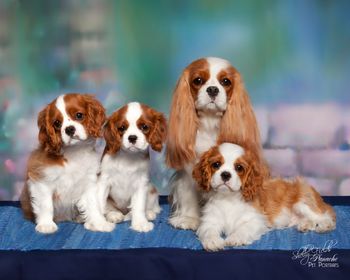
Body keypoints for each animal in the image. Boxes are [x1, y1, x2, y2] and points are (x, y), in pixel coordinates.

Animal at [20, 93, 115, 233]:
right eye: (57, 123)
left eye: (79, 115)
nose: (69, 129)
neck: (74, 152)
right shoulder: (41, 180)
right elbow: (46, 205)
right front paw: (46, 224)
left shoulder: (89, 182)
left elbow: (93, 204)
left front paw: (99, 223)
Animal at [98, 101, 167, 233]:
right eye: (122, 128)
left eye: (144, 127)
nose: (132, 137)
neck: (128, 156)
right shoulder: (104, 181)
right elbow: (100, 203)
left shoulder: (141, 183)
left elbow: (139, 205)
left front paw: (140, 223)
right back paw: (114, 215)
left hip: (152, 190)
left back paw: (148, 213)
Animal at [165, 56, 268, 230]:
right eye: (198, 80)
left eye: (225, 81)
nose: (212, 89)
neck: (209, 122)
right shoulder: (188, 172)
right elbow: (188, 195)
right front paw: (189, 218)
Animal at [193, 142, 334, 252]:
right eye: (216, 164)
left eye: (239, 167)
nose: (226, 174)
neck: (228, 198)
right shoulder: (209, 221)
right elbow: (208, 230)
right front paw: (212, 241)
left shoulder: (256, 220)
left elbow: (244, 228)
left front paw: (235, 237)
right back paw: (305, 225)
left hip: (302, 202)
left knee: (326, 218)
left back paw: (324, 226)